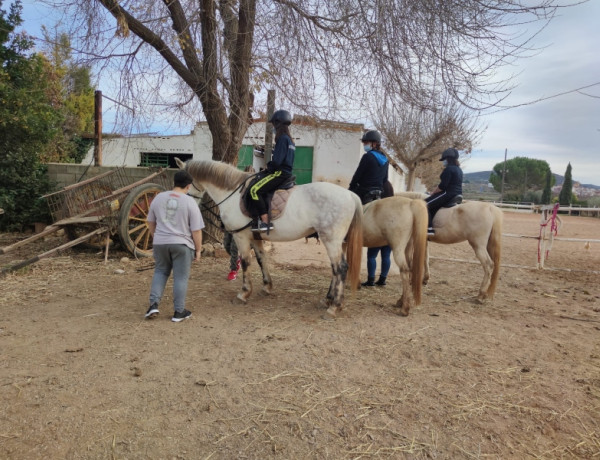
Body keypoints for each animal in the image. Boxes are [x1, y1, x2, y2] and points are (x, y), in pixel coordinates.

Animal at [178, 158, 364, 316]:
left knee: (340, 268)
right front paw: (266, 287)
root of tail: (350, 195)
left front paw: (244, 293)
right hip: (338, 242)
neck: (232, 193)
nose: (183, 200)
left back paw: (334, 306)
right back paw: (328, 300)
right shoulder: (255, 237)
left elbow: (245, 262)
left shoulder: (241, 237)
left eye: (185, 181)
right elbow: (262, 259)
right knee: (335, 269)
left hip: (331, 241)